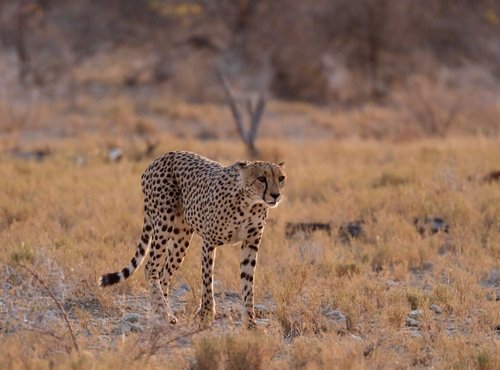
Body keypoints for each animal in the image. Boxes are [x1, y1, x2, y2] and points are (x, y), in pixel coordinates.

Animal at [99, 150, 286, 326]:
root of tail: (160, 158)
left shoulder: (251, 243)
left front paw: (250, 323)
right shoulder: (209, 242)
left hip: (181, 238)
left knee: (163, 273)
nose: (275, 195)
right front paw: (206, 314)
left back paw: (161, 313)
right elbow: (207, 281)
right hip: (164, 221)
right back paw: (163, 312)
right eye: (261, 178)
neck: (250, 203)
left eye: (281, 178)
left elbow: (248, 285)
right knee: (150, 267)